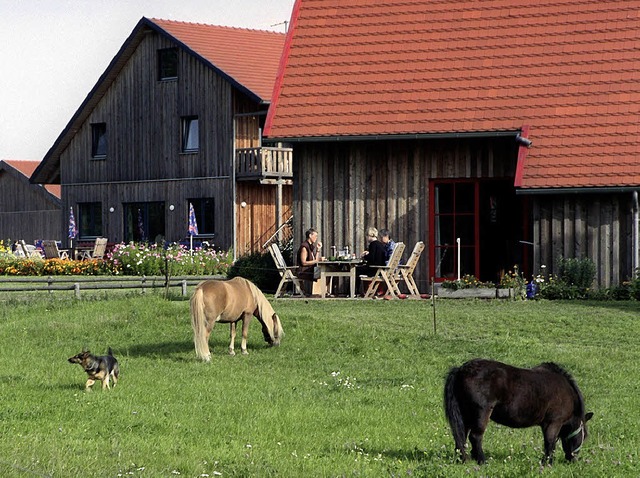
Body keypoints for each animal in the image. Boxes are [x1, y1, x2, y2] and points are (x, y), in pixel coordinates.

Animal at [442, 358, 592, 464]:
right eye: (584, 436)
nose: (573, 460)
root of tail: (461, 369)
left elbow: (550, 444)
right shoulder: (553, 422)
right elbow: (550, 443)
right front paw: (547, 463)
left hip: (466, 415)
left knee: (461, 436)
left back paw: (462, 459)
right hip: (481, 413)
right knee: (475, 437)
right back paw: (482, 461)